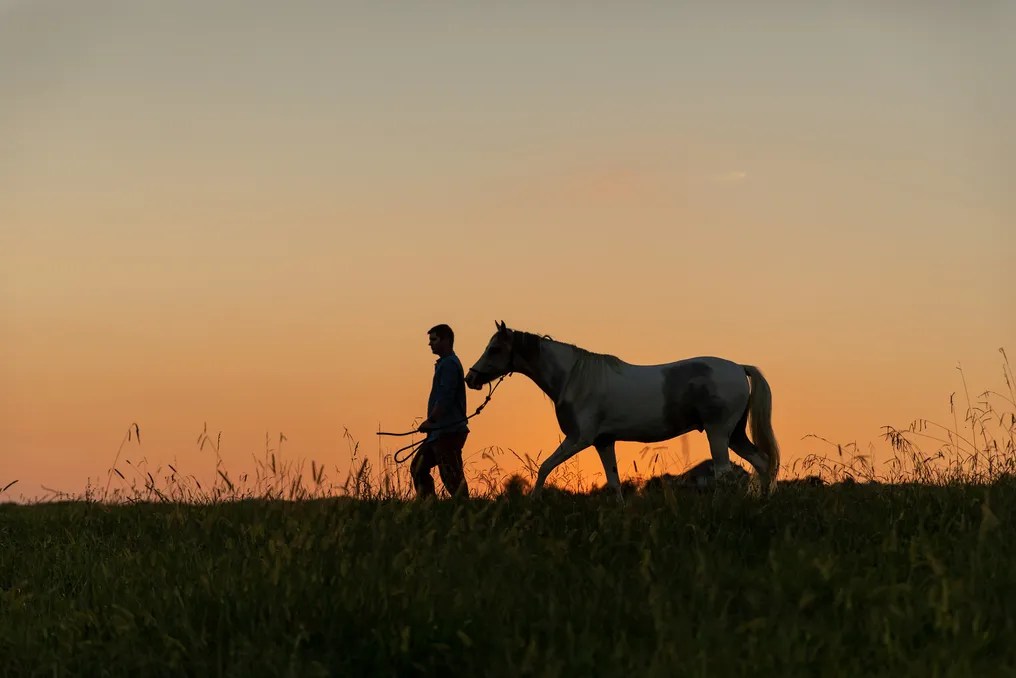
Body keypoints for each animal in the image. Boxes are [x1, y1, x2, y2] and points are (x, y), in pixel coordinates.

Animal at [464, 321, 780, 499]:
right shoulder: (603, 442)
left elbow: (544, 468)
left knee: (725, 473)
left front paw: (534, 503)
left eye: (494, 349)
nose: (471, 378)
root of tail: (738, 367)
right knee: (762, 463)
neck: (575, 378)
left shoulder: (579, 439)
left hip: (718, 433)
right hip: (734, 435)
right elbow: (614, 483)